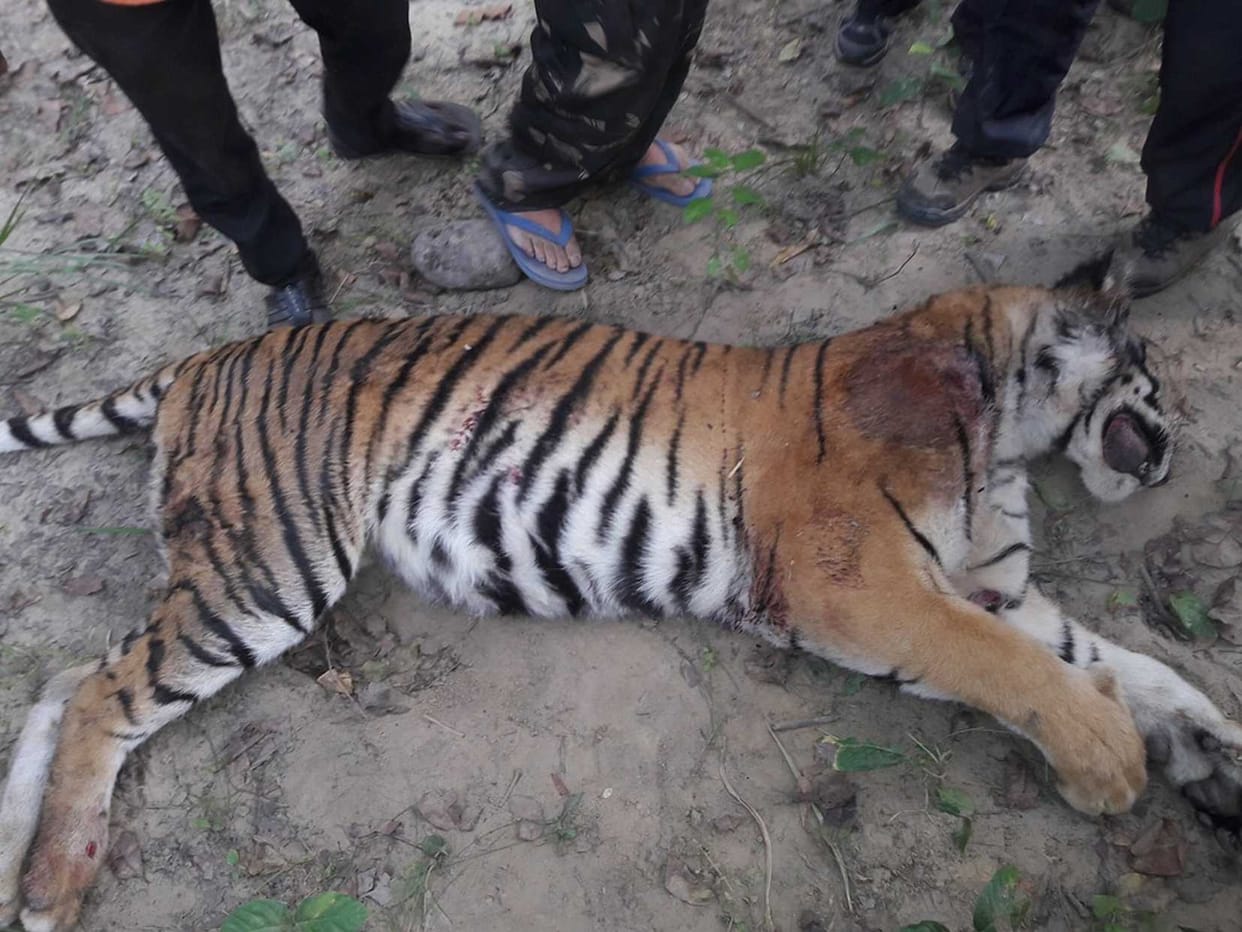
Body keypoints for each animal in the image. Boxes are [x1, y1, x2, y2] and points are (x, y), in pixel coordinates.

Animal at [2, 268, 1241, 931]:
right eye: (1153, 374)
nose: (1180, 448)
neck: (1005, 428)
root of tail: (208, 354)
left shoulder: (995, 584)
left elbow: (1119, 659)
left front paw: (1210, 749)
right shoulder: (855, 575)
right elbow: (1013, 665)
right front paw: (1110, 762)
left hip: (229, 566)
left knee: (64, 675)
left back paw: (21, 841)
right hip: (270, 561)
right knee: (106, 689)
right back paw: (56, 881)